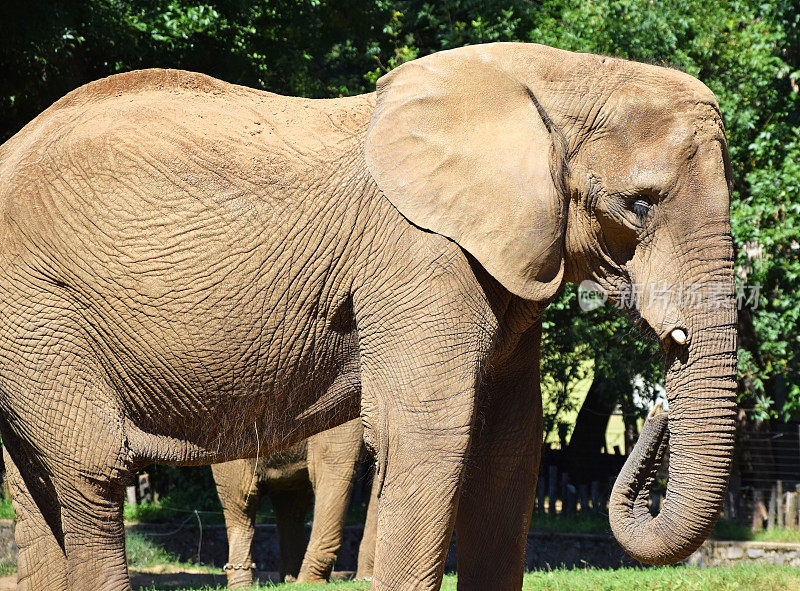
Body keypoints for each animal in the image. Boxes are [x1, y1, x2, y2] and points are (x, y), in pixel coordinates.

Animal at [211, 418, 376, 588]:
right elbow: (332, 465)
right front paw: (310, 583)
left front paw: (366, 580)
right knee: (243, 499)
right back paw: (243, 585)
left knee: (290, 503)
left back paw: (289, 582)